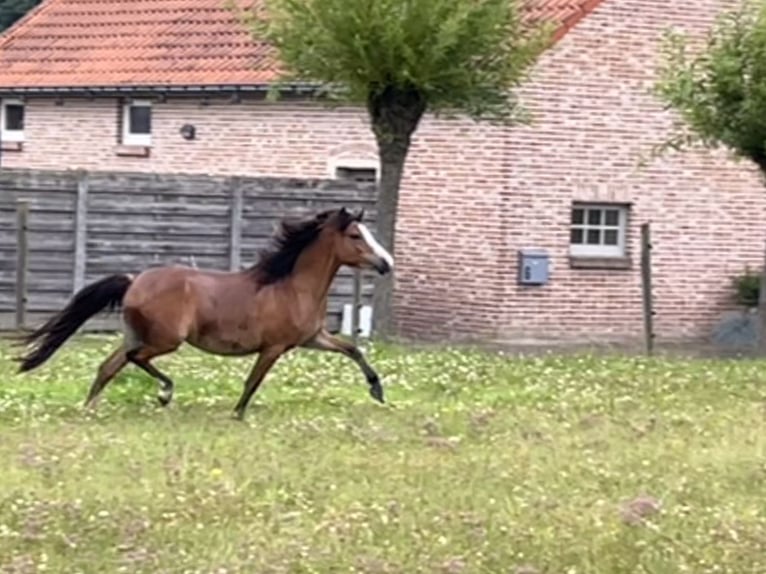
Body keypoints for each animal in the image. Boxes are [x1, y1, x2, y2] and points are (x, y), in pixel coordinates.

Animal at [12, 207, 396, 418]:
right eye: (355, 235)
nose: (386, 263)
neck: (291, 286)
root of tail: (134, 280)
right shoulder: (274, 347)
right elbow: (253, 381)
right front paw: (237, 414)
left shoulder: (312, 338)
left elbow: (353, 349)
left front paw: (377, 391)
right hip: (166, 340)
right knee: (137, 359)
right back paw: (165, 392)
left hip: (136, 335)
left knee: (108, 367)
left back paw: (89, 409)